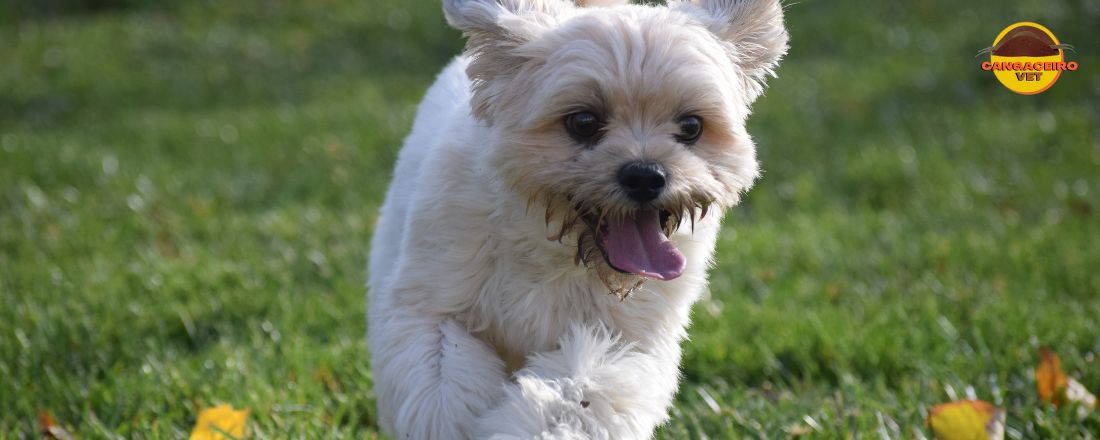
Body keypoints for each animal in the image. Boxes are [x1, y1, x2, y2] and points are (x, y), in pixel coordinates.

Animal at [369, 0, 783, 435]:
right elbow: (443, 392)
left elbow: (576, 396)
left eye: (691, 126)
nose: (645, 175)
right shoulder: (430, 312)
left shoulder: (621, 341)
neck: (552, 248)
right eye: (583, 122)